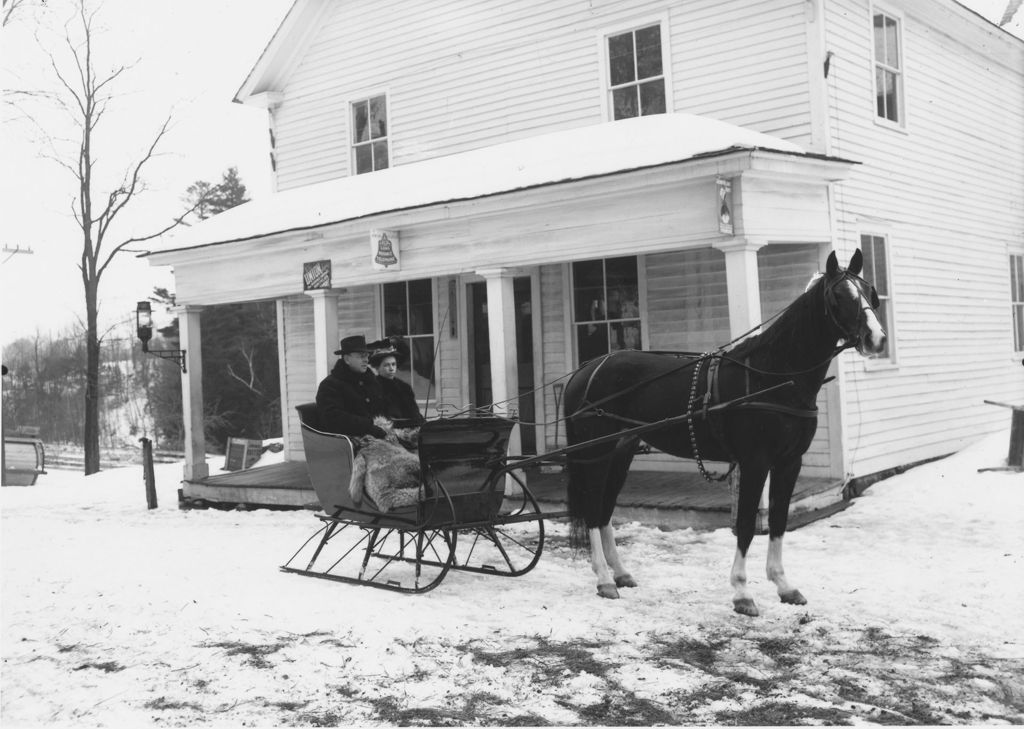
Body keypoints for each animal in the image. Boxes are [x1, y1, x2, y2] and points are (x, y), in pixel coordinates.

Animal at [565, 248, 884, 614]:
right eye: (839, 296)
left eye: (870, 291)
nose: (877, 339)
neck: (773, 374)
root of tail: (585, 369)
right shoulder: (755, 461)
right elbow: (745, 525)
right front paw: (742, 592)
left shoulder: (790, 462)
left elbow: (778, 521)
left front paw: (784, 585)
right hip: (596, 453)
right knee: (592, 508)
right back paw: (603, 579)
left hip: (622, 450)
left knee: (604, 510)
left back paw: (620, 573)